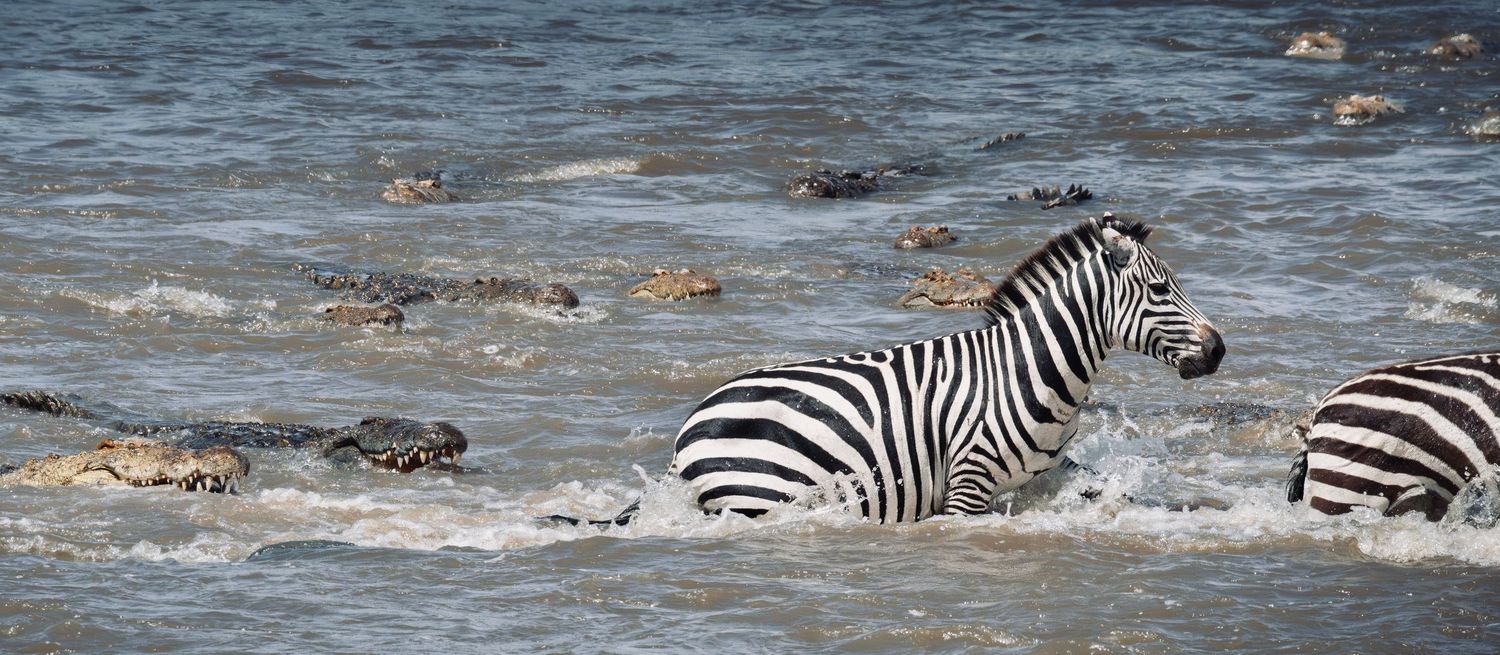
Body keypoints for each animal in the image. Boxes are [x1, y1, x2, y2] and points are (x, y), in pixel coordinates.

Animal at [666, 213, 1225, 523]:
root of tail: (690, 424)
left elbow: (1116, 492)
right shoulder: (965, 485)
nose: (1219, 350)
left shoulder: (1050, 471)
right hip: (760, 497)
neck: (1029, 372)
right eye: (1160, 290)